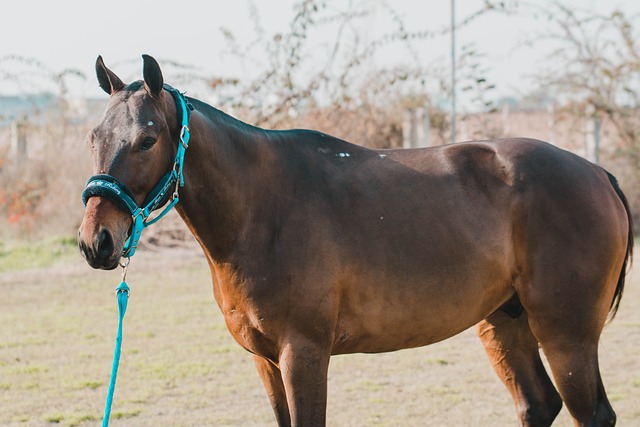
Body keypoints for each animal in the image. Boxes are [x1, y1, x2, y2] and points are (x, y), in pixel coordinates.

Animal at [77, 55, 632, 426]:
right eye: (93, 137)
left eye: (148, 139)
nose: (95, 241)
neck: (263, 207)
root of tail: (599, 174)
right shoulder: (265, 360)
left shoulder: (303, 355)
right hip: (504, 324)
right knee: (538, 405)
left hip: (566, 336)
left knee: (591, 414)